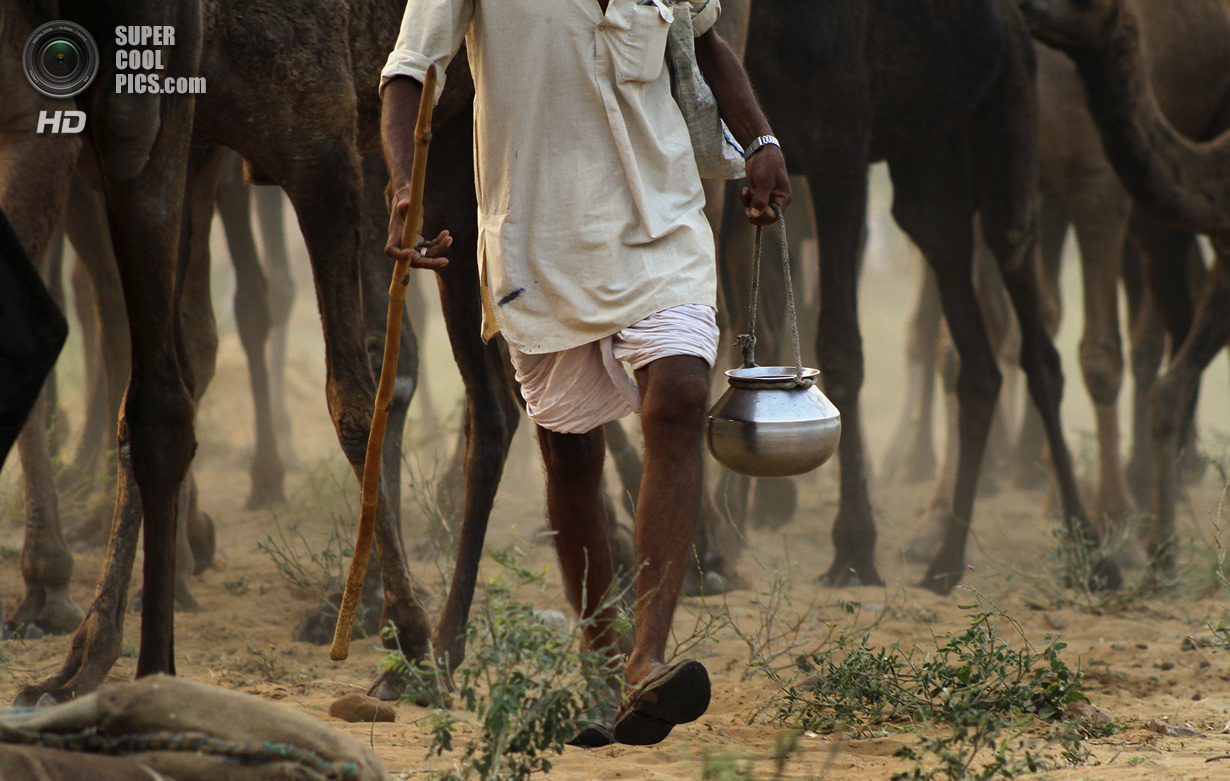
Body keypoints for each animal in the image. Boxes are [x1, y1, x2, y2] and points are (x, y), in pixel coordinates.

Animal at [733, 0, 1121, 590]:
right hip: (930, 160)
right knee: (970, 333)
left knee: (1032, 324)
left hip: (1007, 116)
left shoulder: (839, 147)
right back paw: (945, 561)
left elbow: (841, 350)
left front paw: (853, 549)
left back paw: (1091, 552)